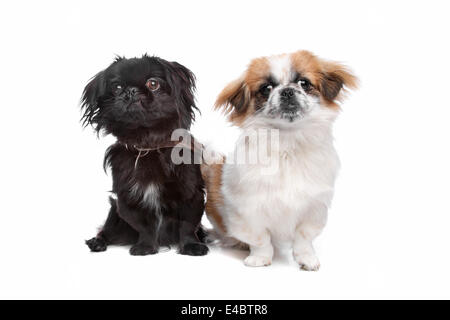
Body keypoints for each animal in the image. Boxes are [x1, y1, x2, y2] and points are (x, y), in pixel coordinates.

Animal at [80, 55, 207, 255]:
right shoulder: (129, 199)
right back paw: (98, 242)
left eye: (153, 83)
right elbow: (144, 226)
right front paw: (145, 247)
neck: (148, 144)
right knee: (107, 230)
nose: (131, 91)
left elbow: (187, 225)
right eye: (117, 87)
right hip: (114, 213)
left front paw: (191, 246)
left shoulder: (191, 193)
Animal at [202, 50, 356, 270]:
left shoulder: (314, 209)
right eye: (266, 88)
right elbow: (261, 239)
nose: (287, 91)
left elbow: (303, 238)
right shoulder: (249, 210)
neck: (287, 143)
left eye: (304, 83)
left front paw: (306, 259)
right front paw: (260, 258)